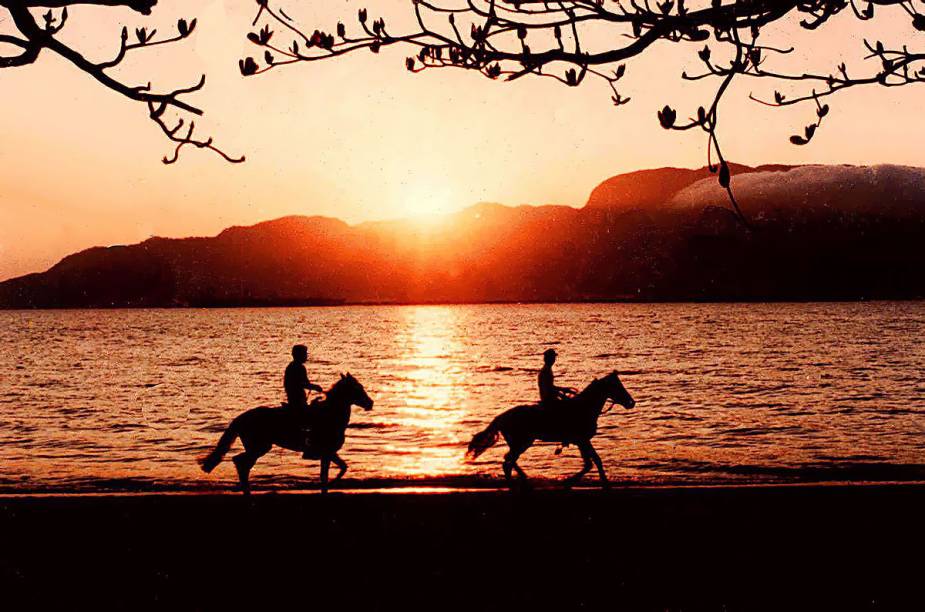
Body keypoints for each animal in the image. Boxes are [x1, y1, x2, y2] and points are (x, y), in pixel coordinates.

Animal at [200, 372, 374, 492]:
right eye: (358, 389)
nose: (370, 403)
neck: (330, 415)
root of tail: (242, 417)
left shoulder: (330, 453)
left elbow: (340, 468)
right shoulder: (327, 452)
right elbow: (329, 473)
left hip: (258, 448)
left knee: (242, 463)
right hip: (259, 447)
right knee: (240, 462)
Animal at [466, 370, 632, 490]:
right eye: (617, 386)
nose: (631, 402)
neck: (584, 407)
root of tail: (502, 417)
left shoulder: (582, 441)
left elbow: (593, 462)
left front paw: (603, 482)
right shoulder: (582, 440)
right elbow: (591, 462)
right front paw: (570, 482)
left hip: (521, 443)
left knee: (509, 460)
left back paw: (524, 479)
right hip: (522, 443)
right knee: (508, 462)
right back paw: (515, 484)